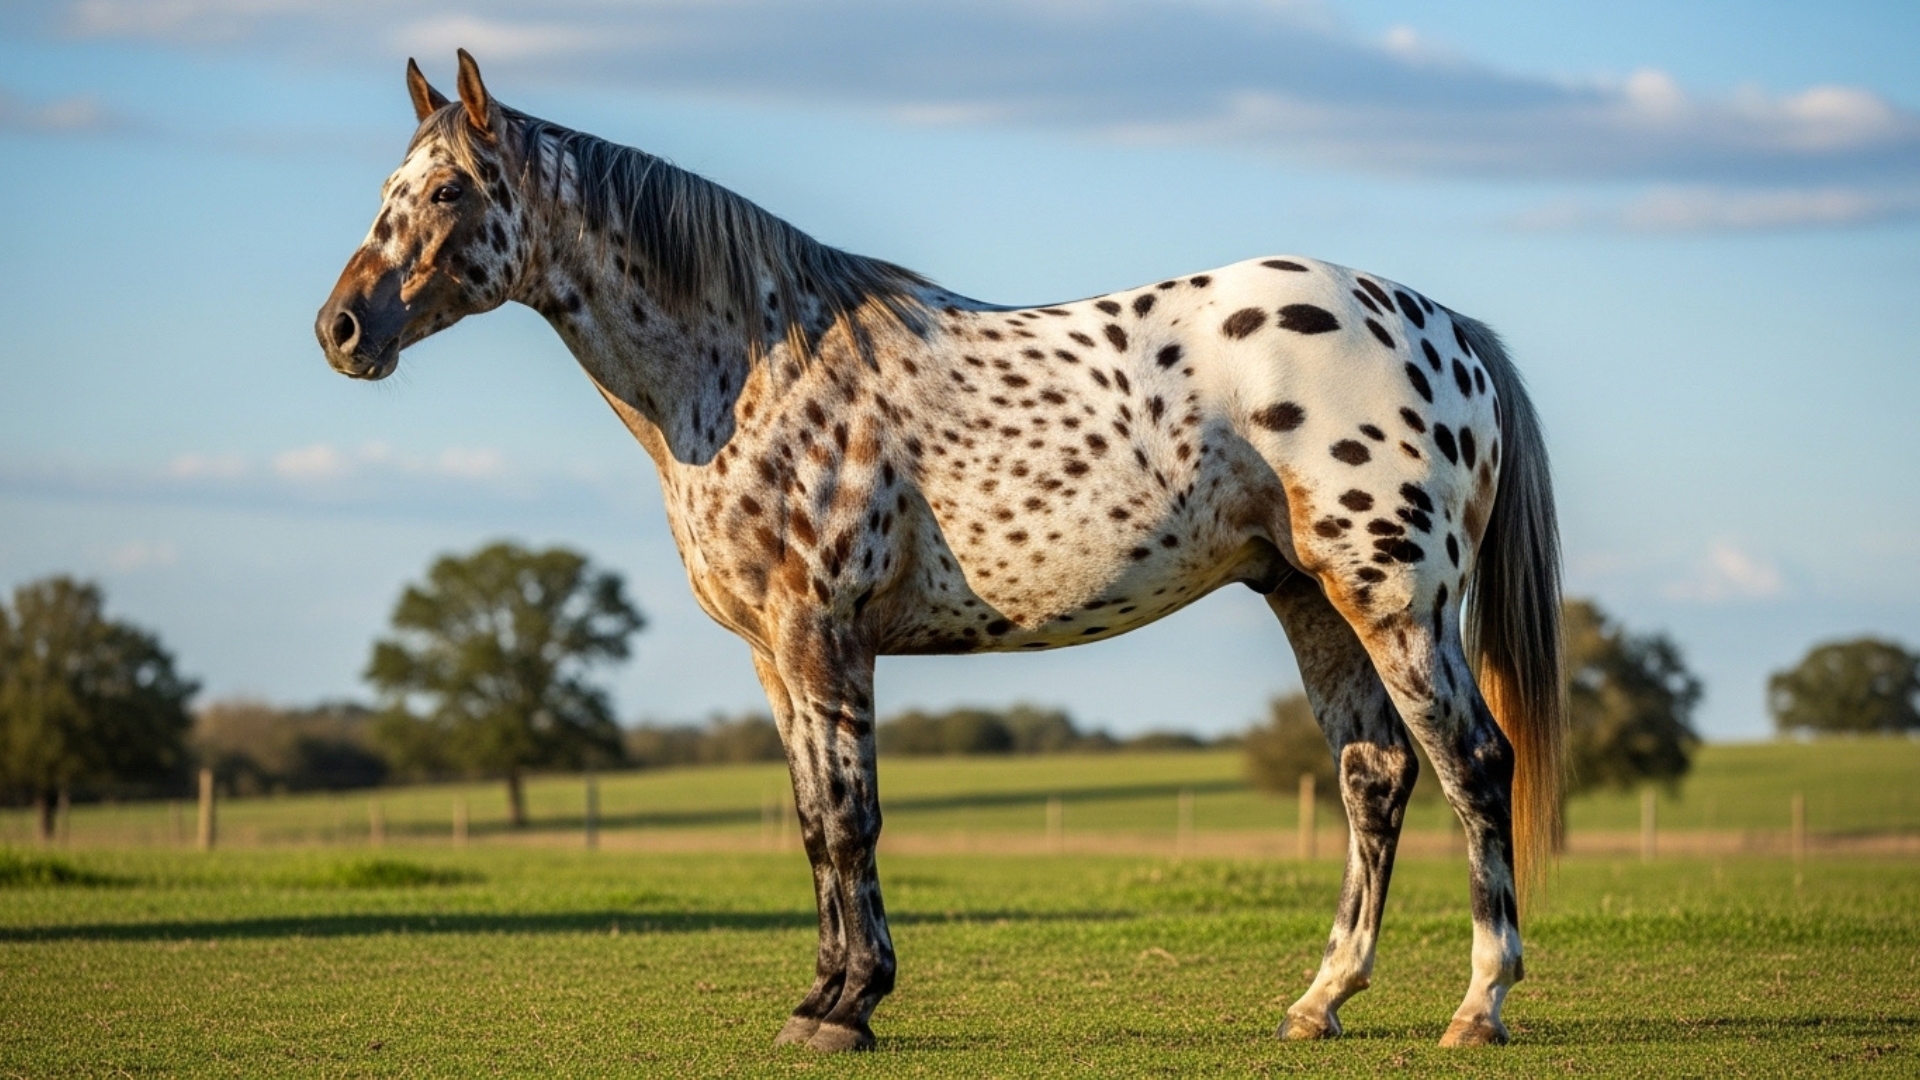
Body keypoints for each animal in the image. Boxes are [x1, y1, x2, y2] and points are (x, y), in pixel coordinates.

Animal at [316, 51, 1564, 1052]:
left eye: (446, 189)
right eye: (386, 190)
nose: (341, 329)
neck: (753, 365)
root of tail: (1444, 327)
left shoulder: (823, 637)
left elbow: (851, 819)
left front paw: (849, 1007)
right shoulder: (771, 654)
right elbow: (813, 824)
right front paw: (821, 997)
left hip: (1397, 599)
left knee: (1473, 763)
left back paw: (1479, 1007)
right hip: (1310, 597)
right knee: (1376, 775)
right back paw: (1320, 1001)